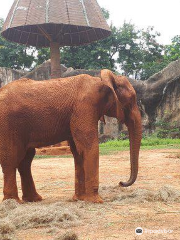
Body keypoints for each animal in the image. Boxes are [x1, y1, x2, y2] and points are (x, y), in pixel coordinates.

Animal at [0, 69, 141, 202]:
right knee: (11, 158)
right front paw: (96, 201)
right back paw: (13, 202)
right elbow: (90, 146)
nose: (121, 182)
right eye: (131, 100)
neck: (100, 80)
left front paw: (79, 199)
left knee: (26, 159)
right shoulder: (84, 107)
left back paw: (34, 199)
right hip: (8, 123)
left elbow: (78, 151)